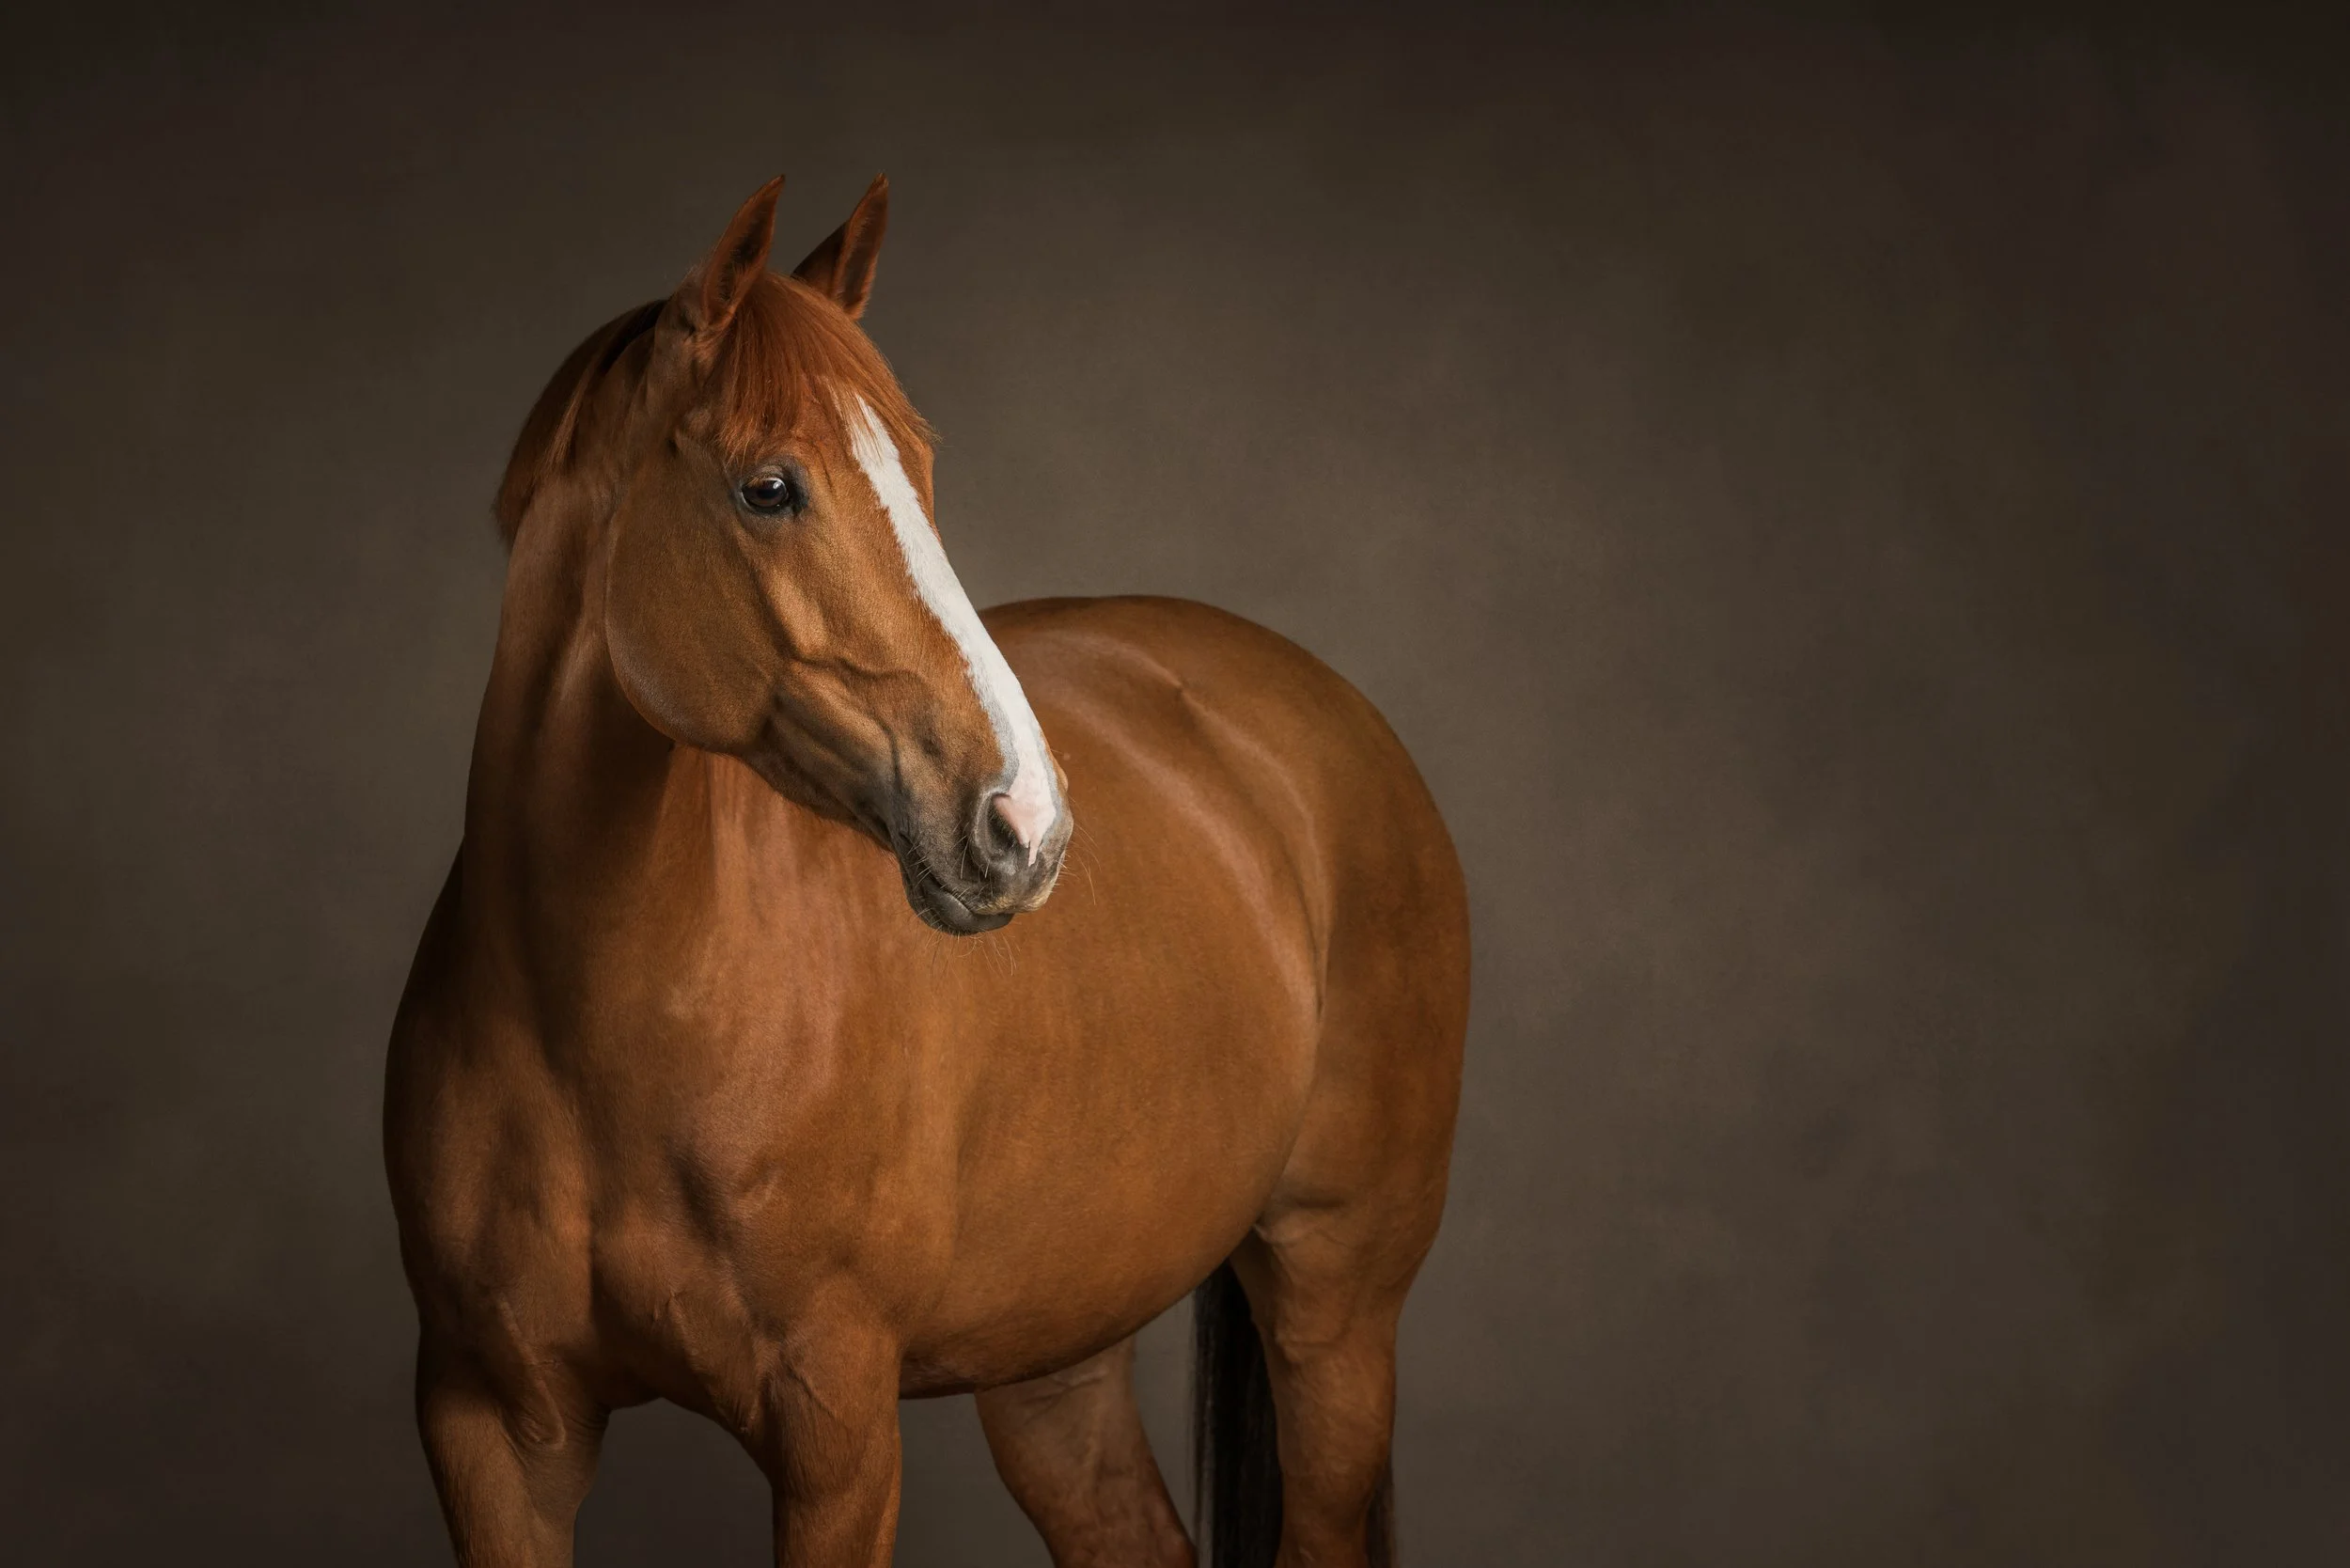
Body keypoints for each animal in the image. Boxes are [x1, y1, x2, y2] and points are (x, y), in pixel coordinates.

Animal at [383, 173, 1469, 1568]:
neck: (592, 1025)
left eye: (921, 465)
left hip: (1334, 1306)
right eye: (769, 486)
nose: (1023, 821)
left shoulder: (837, 1430)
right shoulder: (496, 1432)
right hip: (1060, 1357)